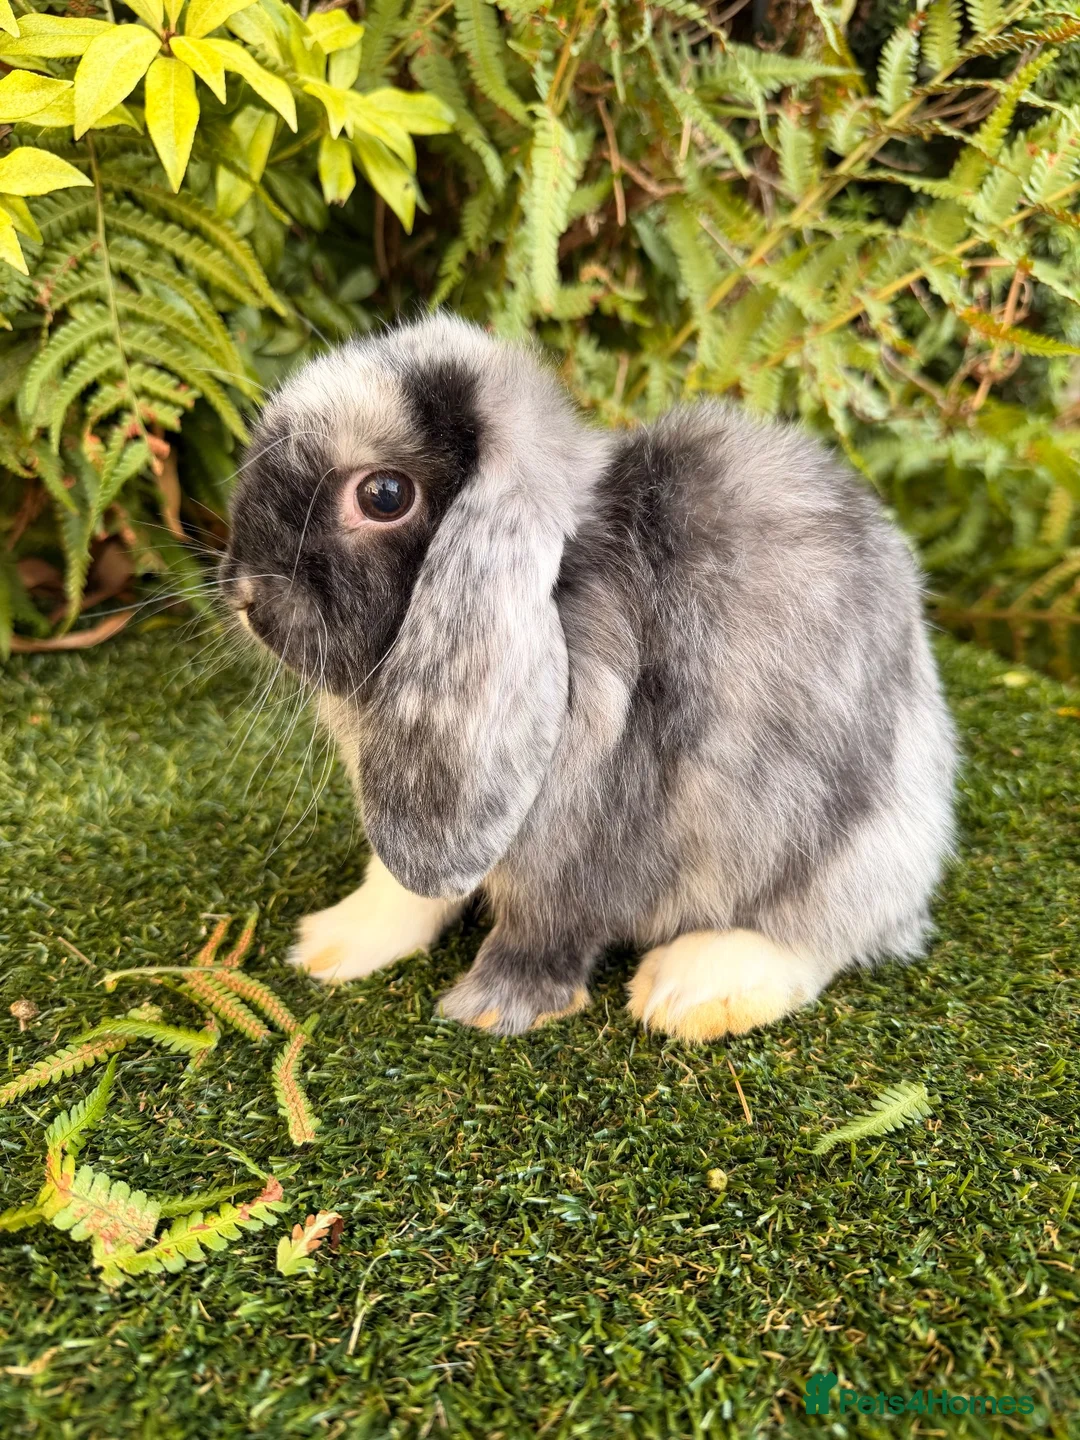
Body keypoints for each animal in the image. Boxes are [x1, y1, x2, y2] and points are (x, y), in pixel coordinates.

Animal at [220, 313, 957, 1041]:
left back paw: (691, 992)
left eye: (384, 495)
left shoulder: (579, 835)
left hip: (839, 850)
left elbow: (546, 928)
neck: (564, 596)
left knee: (825, 933)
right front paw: (333, 943)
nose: (245, 596)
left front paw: (494, 1008)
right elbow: (404, 886)